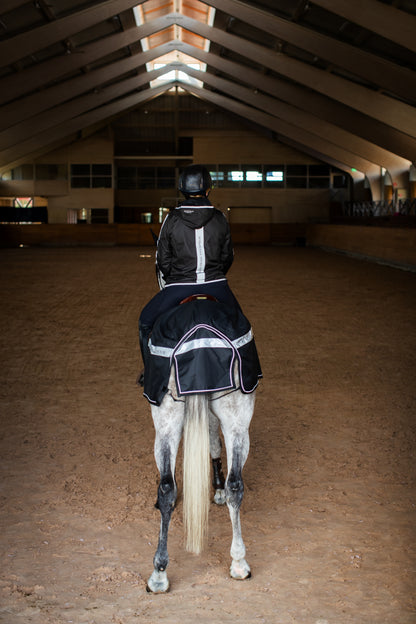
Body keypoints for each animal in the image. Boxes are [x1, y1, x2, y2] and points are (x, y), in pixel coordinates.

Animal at [146, 360, 256, 588]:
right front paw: (219, 488)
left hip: (166, 417)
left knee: (167, 487)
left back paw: (159, 575)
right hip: (237, 419)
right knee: (234, 485)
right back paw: (239, 563)